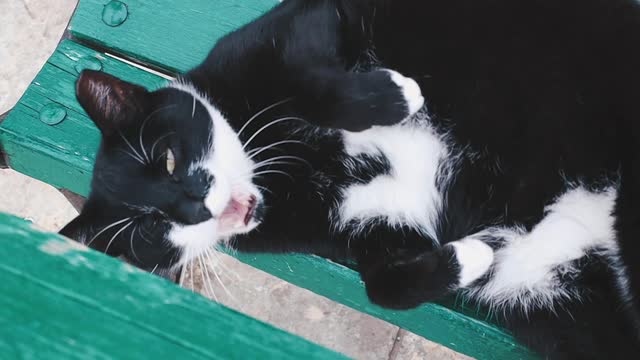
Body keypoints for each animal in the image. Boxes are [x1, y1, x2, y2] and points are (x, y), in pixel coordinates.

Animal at [60, 0, 640, 358]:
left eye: (167, 159)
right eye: (149, 230)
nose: (193, 206)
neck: (289, 170)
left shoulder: (289, 30)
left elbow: (309, 75)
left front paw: (399, 96)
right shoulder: (365, 229)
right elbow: (383, 285)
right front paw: (472, 257)